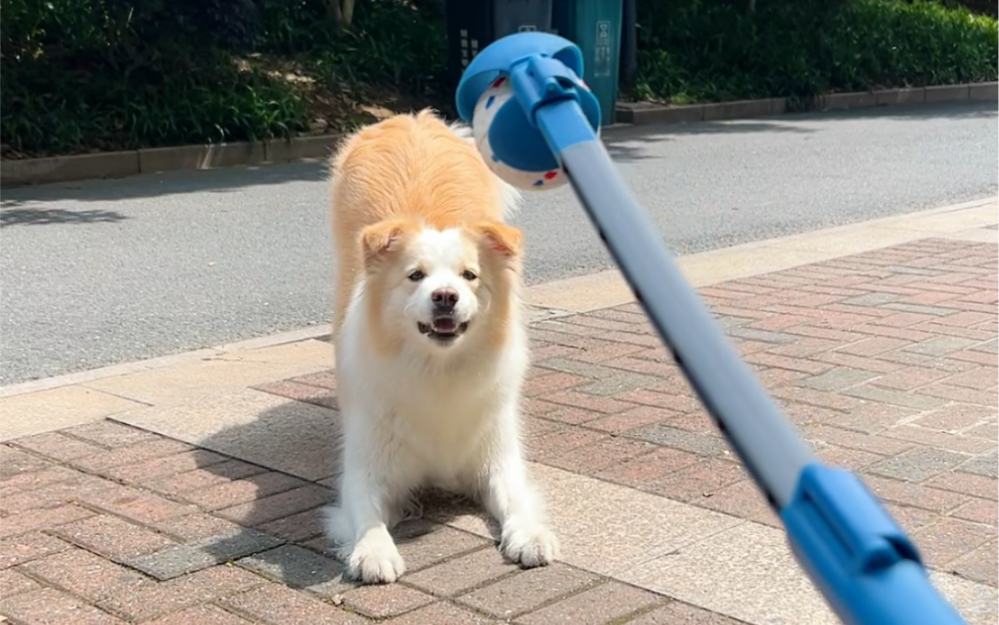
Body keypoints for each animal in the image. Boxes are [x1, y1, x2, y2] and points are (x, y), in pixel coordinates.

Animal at [324, 109, 560, 584]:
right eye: (415, 276)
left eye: (469, 275)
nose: (446, 296)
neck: (438, 370)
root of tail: (414, 119)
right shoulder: (366, 468)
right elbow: (367, 513)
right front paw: (374, 551)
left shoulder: (496, 453)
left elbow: (516, 498)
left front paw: (529, 536)